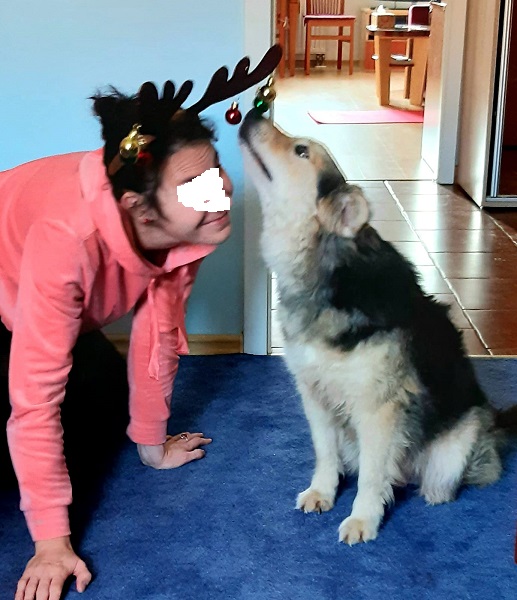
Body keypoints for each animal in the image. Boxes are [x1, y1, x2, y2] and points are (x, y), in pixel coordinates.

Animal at [239, 109, 505, 545]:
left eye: (300, 150)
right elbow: (325, 452)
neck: (324, 271)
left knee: (429, 480)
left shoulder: (378, 410)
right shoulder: (314, 395)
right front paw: (323, 491)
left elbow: (371, 475)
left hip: (452, 453)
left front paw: (363, 518)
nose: (250, 114)